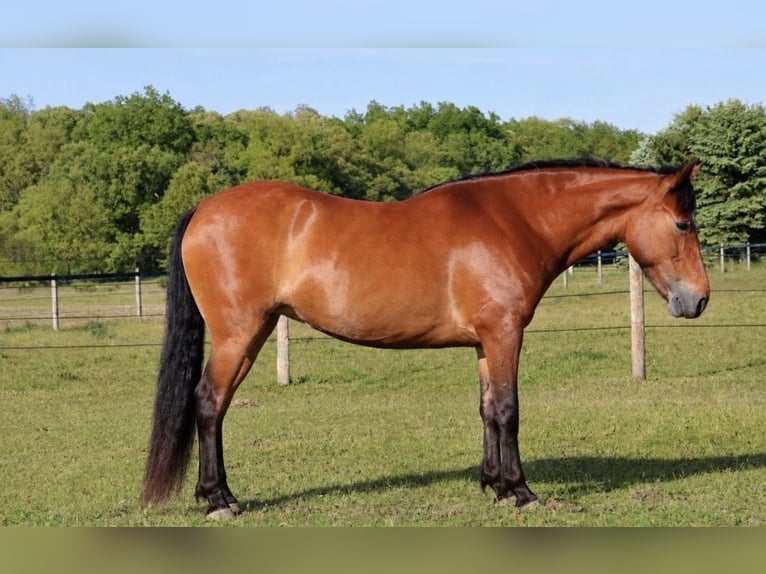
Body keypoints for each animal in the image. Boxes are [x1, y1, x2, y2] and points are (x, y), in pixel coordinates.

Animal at [141, 159, 710, 519]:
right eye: (683, 224)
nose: (699, 300)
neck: (516, 220)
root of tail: (203, 210)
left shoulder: (485, 342)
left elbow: (487, 410)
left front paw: (495, 485)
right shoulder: (504, 334)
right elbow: (509, 410)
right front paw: (522, 491)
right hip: (239, 335)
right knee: (208, 403)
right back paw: (220, 500)